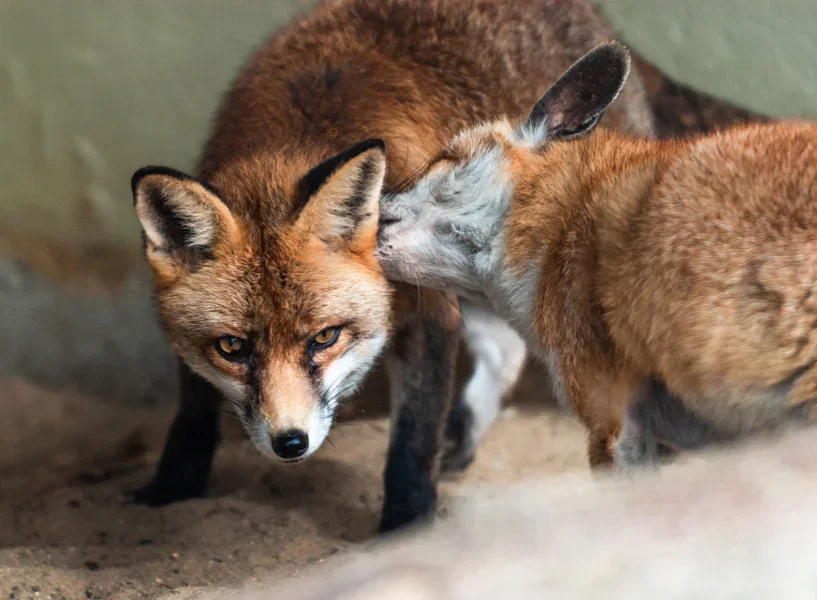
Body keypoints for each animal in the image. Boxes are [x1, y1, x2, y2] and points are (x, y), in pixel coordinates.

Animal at [128, 0, 759, 530]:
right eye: (233, 348)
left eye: (326, 337)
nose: (290, 444)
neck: (297, 132)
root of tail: (592, 14)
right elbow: (193, 411)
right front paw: (171, 489)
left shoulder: (423, 310)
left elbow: (410, 439)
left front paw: (404, 526)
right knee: (505, 351)